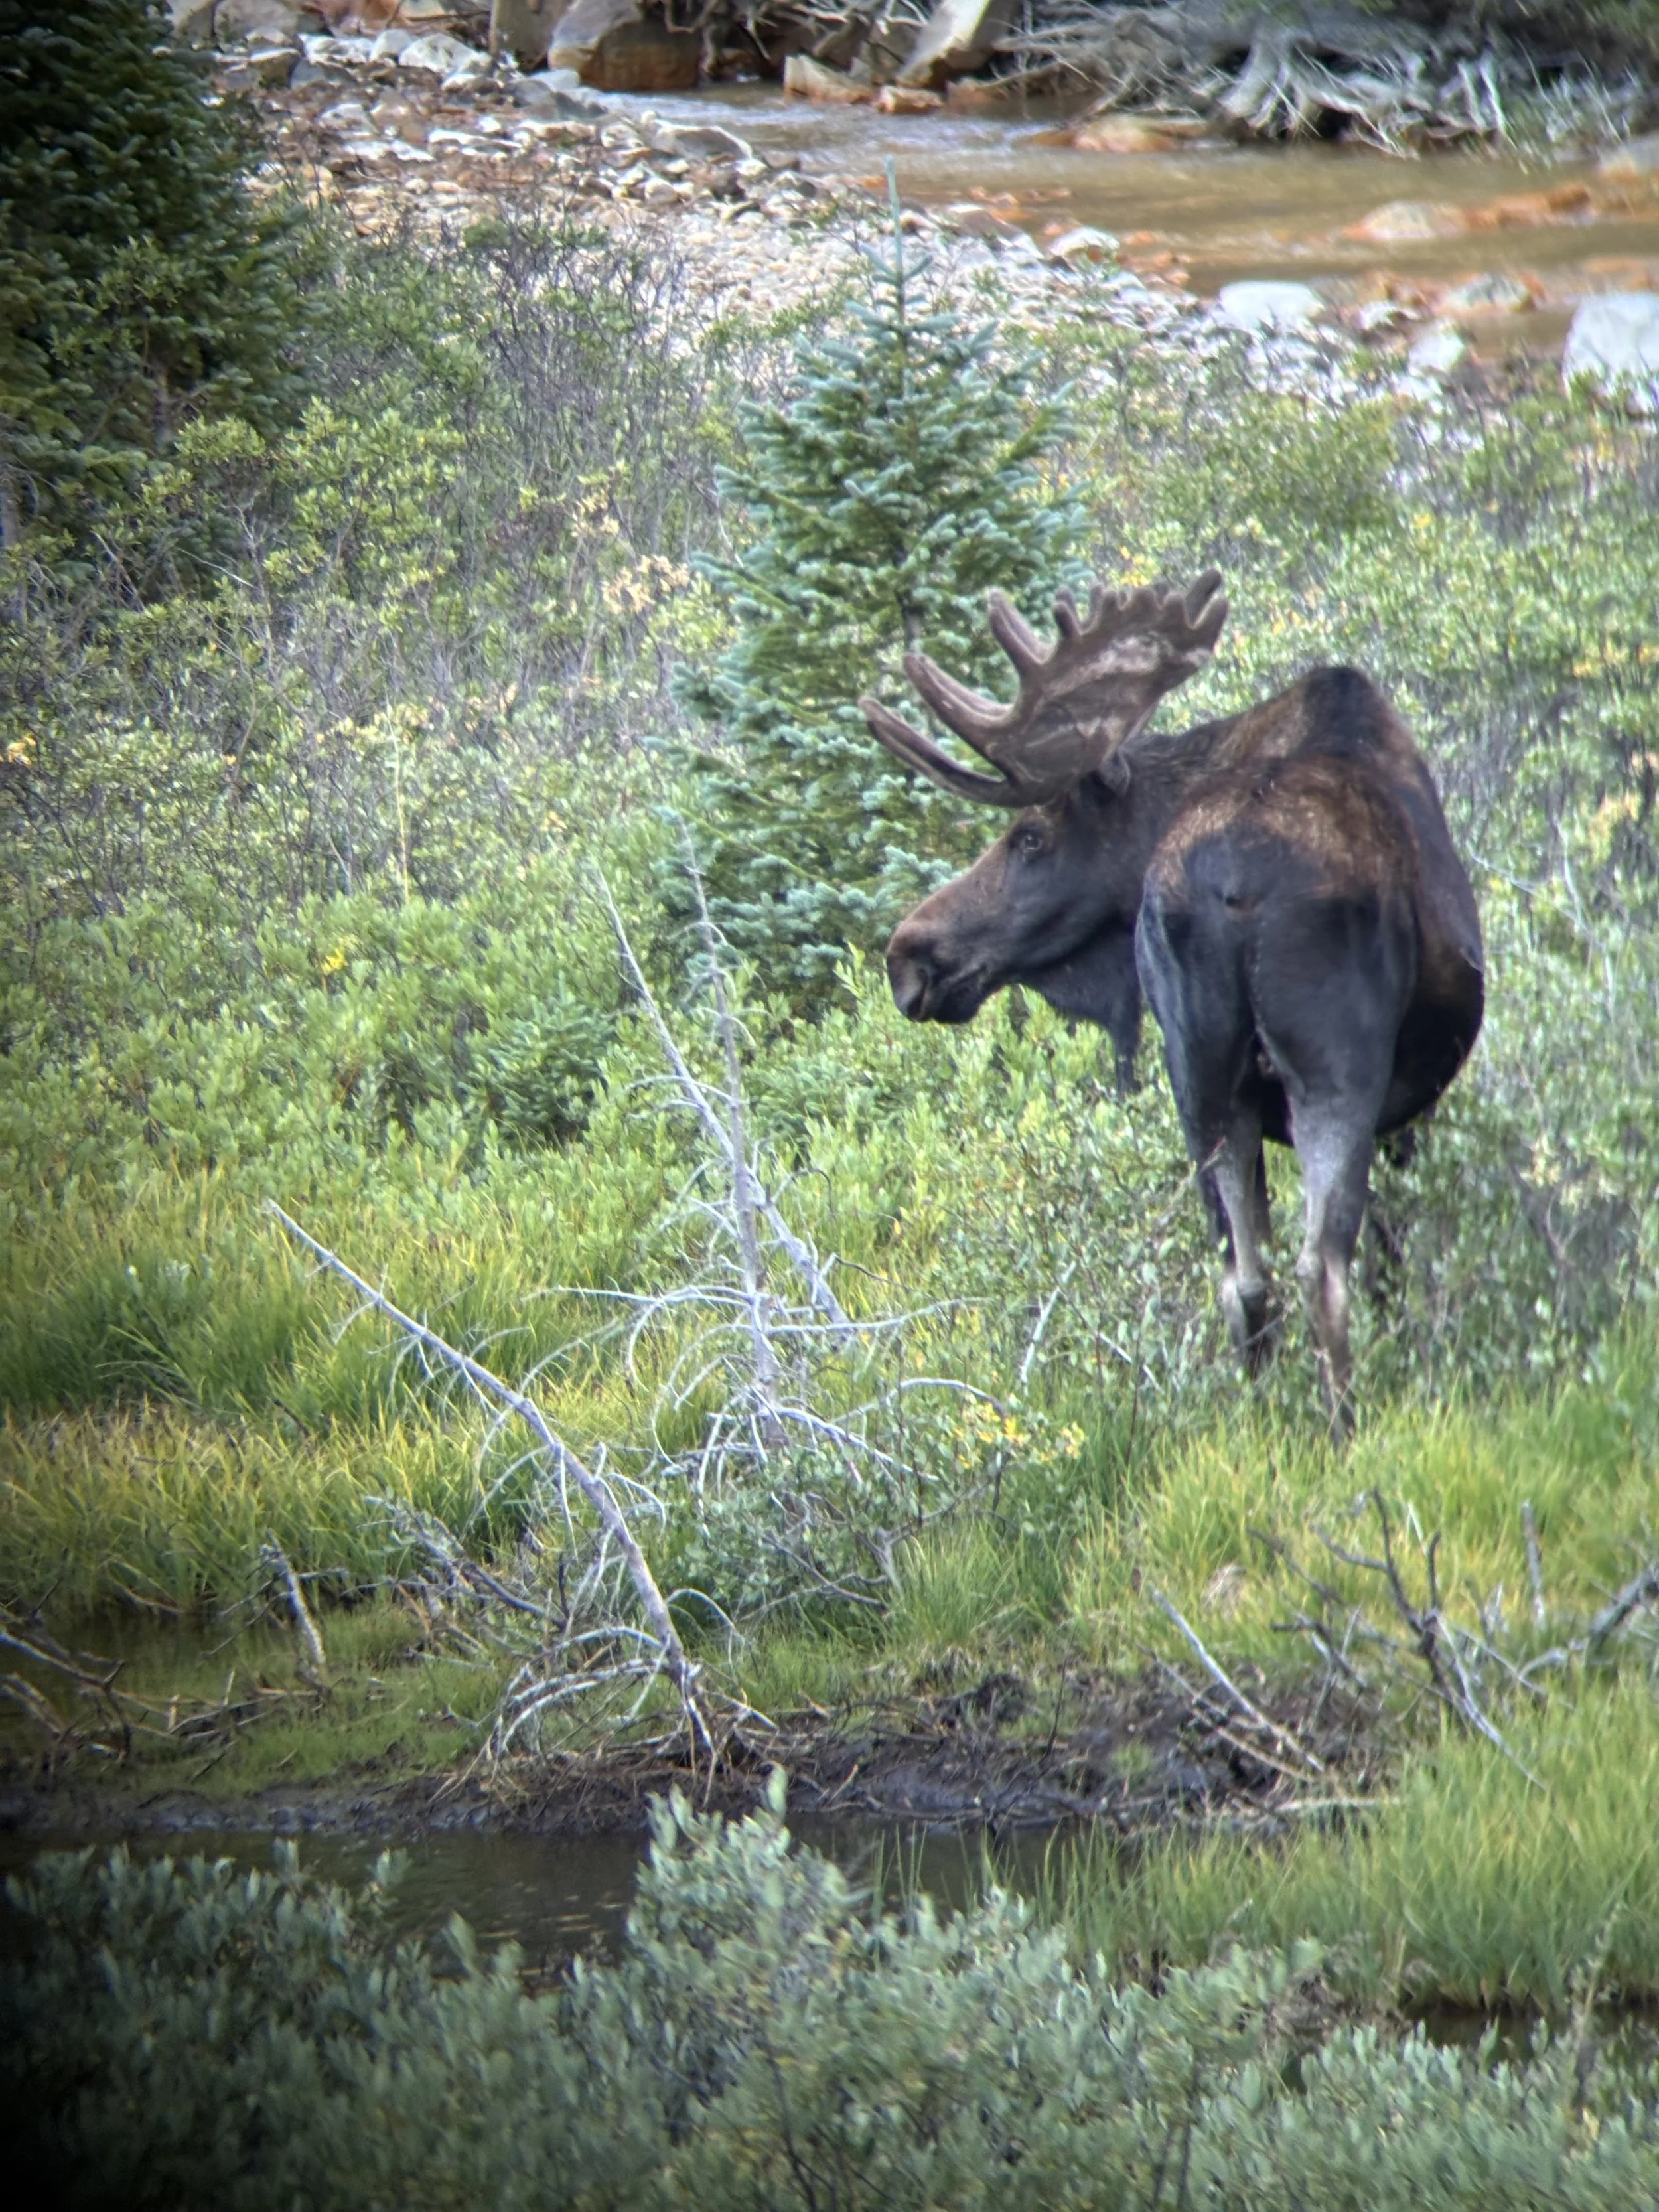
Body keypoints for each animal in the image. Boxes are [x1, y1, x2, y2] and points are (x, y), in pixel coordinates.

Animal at [860, 572, 1484, 1426]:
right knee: (1319, 1263)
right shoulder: (1412, 1102)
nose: (907, 955)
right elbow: (1394, 1256)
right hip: (1334, 1064)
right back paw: (1344, 1431)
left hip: (1196, 1074)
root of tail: (1235, 884)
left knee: (1244, 1279)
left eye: (1030, 837)